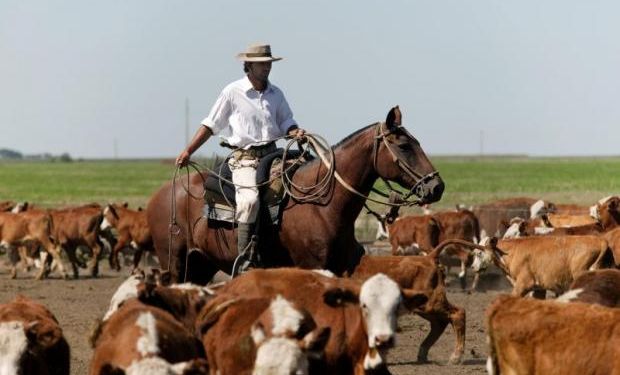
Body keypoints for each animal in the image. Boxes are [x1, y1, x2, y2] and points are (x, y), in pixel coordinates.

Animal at [145, 107, 446, 284]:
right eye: (404, 146)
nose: (436, 186)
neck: (324, 205)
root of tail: (162, 193)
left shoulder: (342, 268)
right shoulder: (311, 266)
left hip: (200, 265)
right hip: (174, 263)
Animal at [472, 236, 612, 298]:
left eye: (479, 253)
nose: (473, 267)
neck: (511, 252)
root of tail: (600, 240)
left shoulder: (523, 284)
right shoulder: (538, 289)